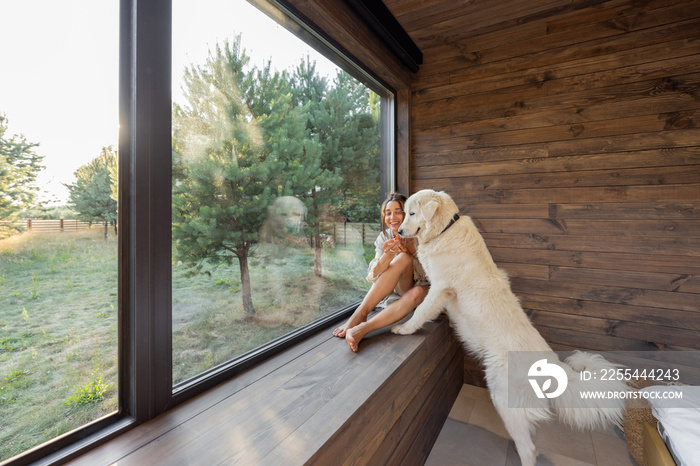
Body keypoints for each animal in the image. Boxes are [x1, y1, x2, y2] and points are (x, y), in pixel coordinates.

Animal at [392, 189, 628, 466]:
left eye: (411, 213)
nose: (399, 231)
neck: (445, 230)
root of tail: (553, 364)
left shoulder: (440, 287)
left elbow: (421, 311)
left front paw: (404, 328)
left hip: (502, 396)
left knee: (529, 448)